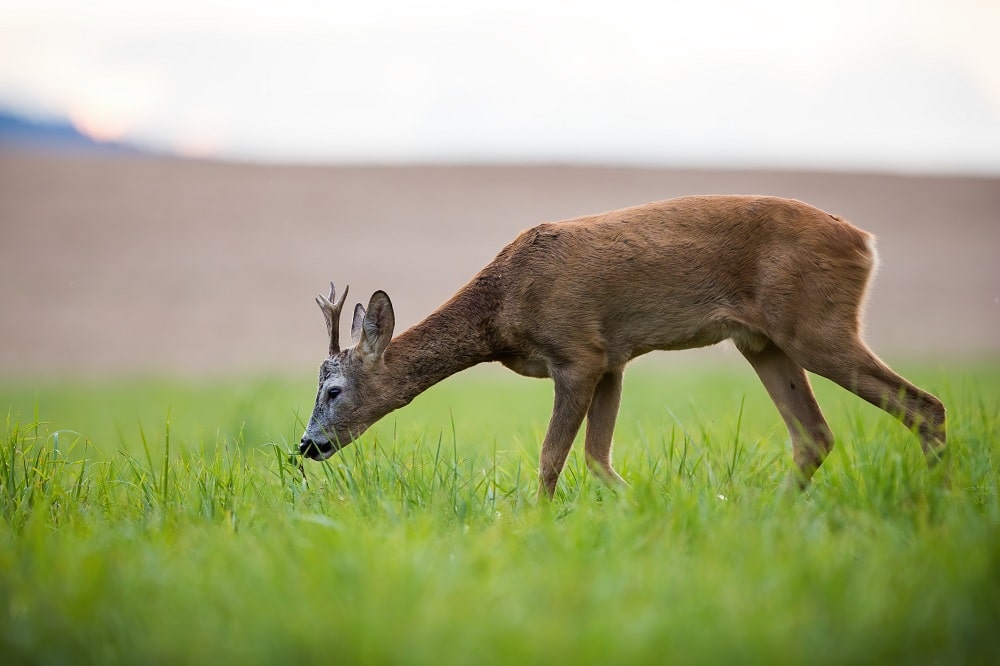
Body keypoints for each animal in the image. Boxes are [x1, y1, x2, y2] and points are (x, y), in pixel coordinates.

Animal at [296, 195, 944, 496]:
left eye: (333, 390)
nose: (306, 445)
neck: (503, 307)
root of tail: (865, 243)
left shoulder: (577, 352)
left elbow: (551, 459)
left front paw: (534, 525)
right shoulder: (612, 359)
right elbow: (596, 458)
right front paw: (642, 507)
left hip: (817, 326)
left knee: (925, 405)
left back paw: (937, 506)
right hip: (762, 342)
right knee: (814, 435)